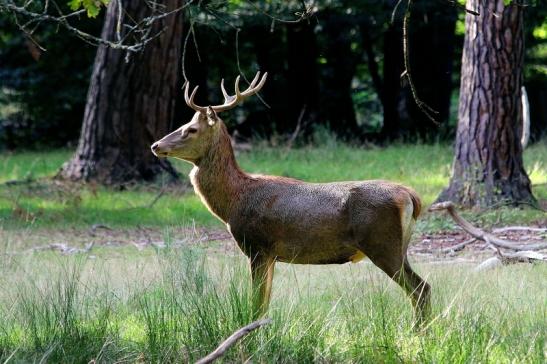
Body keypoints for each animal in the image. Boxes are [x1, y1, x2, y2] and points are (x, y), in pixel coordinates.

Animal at [151, 71, 432, 324]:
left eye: (191, 129)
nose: (155, 145)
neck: (234, 201)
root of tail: (412, 196)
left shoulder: (258, 246)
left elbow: (255, 304)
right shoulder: (271, 255)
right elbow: (264, 304)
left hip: (382, 243)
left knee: (420, 289)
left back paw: (417, 334)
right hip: (400, 247)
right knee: (423, 288)